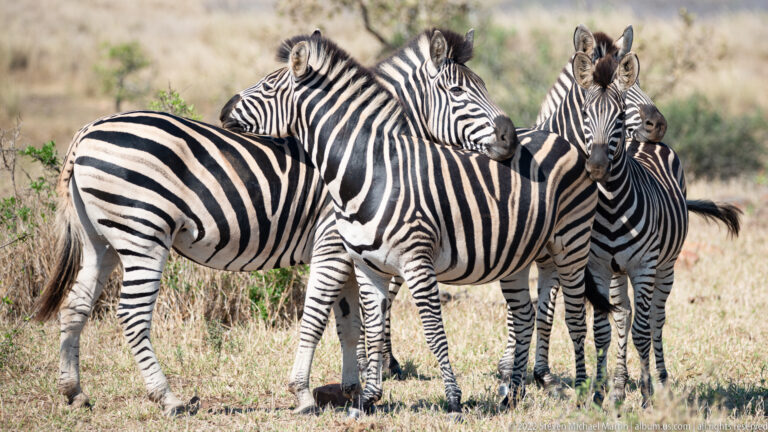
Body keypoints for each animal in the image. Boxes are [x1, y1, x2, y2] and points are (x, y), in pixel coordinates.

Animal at [34, 29, 517, 415]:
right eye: (458, 92)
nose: (510, 137)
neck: (370, 153)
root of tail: (86, 132)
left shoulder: (347, 251)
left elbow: (348, 322)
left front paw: (351, 388)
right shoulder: (333, 241)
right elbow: (325, 317)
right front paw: (311, 395)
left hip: (102, 240)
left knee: (76, 305)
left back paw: (74, 393)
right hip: (143, 235)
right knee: (132, 314)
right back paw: (168, 398)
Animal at [234, 32, 610, 416]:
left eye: (266, 86)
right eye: (457, 90)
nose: (226, 110)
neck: (370, 171)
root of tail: (559, 138)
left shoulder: (413, 261)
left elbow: (432, 331)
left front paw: (452, 399)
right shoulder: (367, 265)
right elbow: (371, 325)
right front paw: (368, 397)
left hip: (572, 244)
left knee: (575, 317)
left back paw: (584, 394)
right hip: (522, 254)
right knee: (524, 315)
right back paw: (512, 395)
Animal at [532, 26, 741, 407]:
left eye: (635, 80)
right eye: (586, 112)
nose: (657, 124)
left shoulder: (636, 265)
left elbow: (637, 328)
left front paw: (641, 392)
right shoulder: (588, 264)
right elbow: (578, 322)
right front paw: (593, 389)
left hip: (665, 265)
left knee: (655, 317)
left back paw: (659, 380)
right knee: (622, 315)